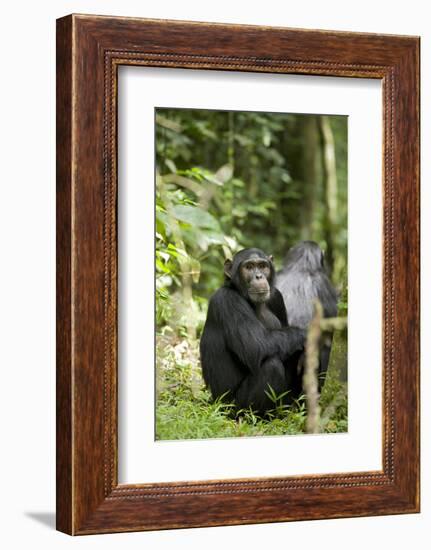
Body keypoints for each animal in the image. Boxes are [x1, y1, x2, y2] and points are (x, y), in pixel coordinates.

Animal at [200, 250, 306, 414]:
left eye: (262, 266)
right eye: (249, 267)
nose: (259, 276)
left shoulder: (277, 297)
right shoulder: (227, 301)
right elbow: (255, 347)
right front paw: (309, 334)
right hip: (232, 408)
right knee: (271, 366)